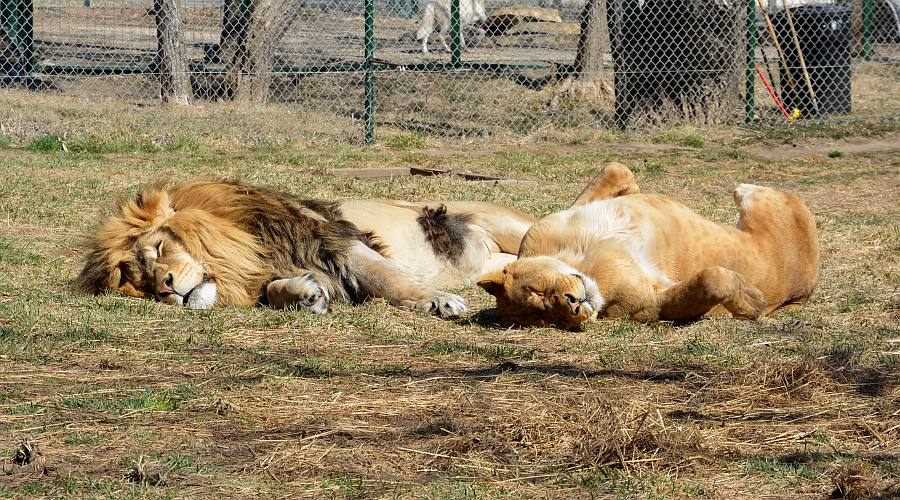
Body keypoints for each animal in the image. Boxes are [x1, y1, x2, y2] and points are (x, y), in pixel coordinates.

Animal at [75, 178, 536, 314]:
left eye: (156, 249)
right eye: (143, 286)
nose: (167, 288)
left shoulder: (338, 244)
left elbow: (391, 280)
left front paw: (439, 301)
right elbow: (276, 290)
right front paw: (305, 295)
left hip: (512, 225)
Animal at [482, 162, 820, 330]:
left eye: (538, 291)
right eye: (553, 320)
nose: (573, 307)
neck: (581, 260)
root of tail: (806, 287)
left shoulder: (548, 227)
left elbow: (616, 169)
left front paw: (630, 189)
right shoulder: (652, 303)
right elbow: (710, 281)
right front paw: (752, 303)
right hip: (762, 202)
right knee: (748, 191)